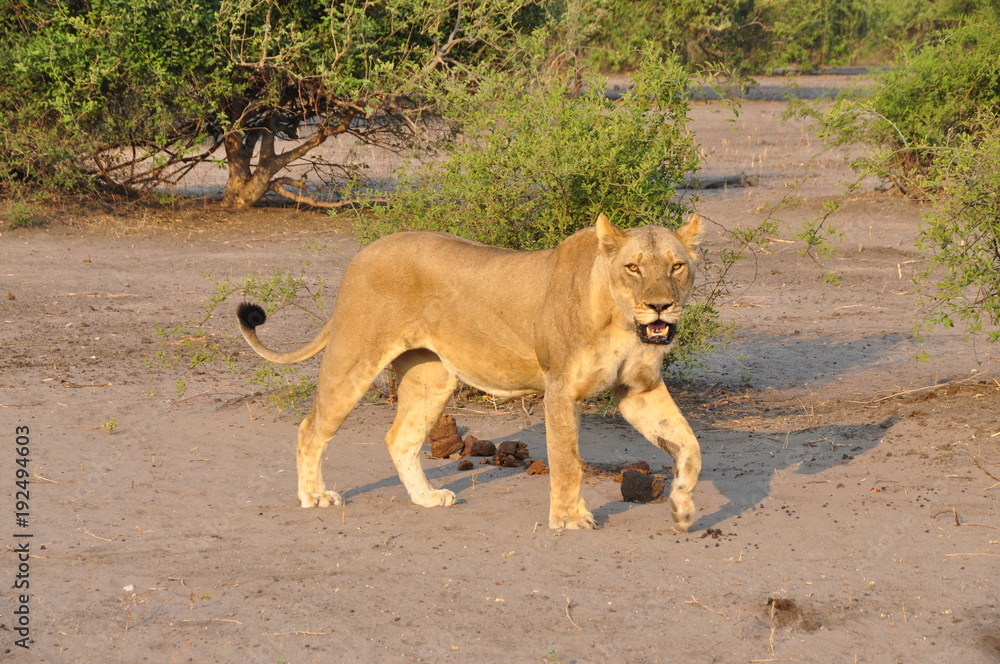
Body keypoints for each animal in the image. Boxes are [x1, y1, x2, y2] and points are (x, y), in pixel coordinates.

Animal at [237, 213, 703, 531]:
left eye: (676, 266)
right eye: (633, 267)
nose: (660, 305)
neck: (622, 321)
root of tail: (362, 253)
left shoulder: (639, 390)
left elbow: (690, 447)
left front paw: (681, 508)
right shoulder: (560, 389)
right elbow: (568, 460)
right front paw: (570, 519)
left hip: (432, 378)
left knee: (400, 438)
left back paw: (425, 498)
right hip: (353, 359)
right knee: (311, 428)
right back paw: (315, 496)